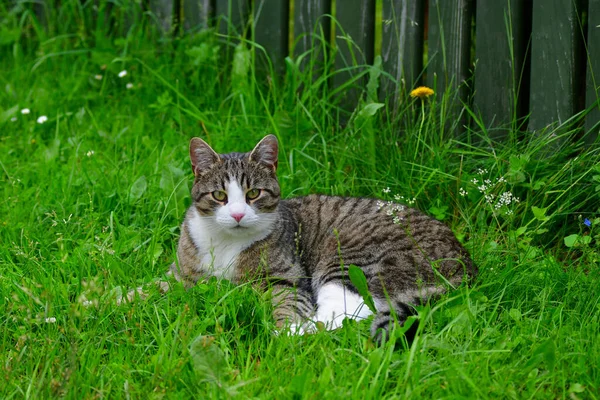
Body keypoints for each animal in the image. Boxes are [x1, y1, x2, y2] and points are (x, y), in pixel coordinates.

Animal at [157, 136, 476, 342]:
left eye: (253, 194)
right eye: (219, 195)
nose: (237, 214)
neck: (225, 242)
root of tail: (466, 261)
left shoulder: (287, 279)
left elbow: (288, 303)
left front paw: (281, 327)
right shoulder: (180, 276)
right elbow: (152, 290)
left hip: (349, 259)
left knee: (347, 314)